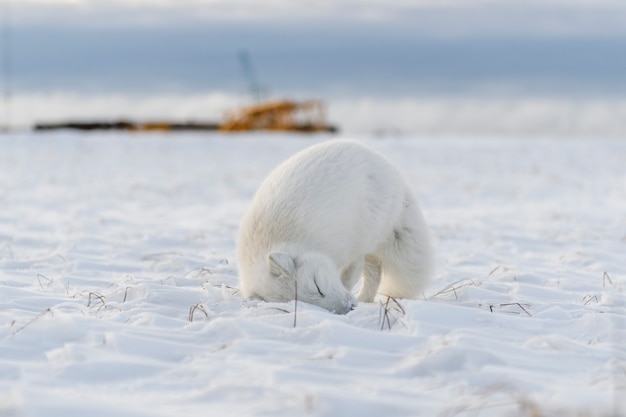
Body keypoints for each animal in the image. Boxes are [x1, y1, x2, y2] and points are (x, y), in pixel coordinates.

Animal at [236, 139, 432, 312]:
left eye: (318, 286)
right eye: (307, 303)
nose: (350, 307)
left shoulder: (348, 247)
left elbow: (349, 275)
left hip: (368, 231)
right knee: (375, 270)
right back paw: (365, 299)